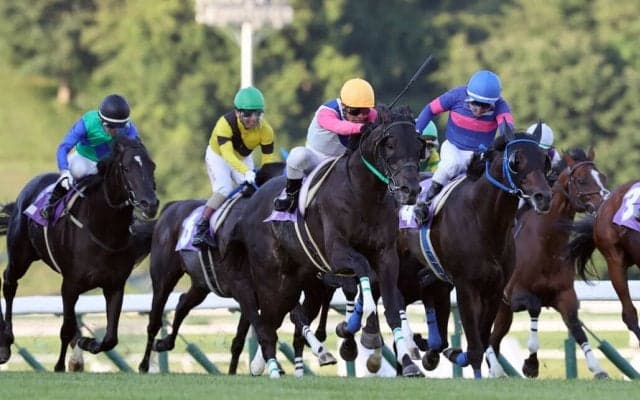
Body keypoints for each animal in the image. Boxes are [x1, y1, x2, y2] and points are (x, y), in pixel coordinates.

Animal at [0, 134, 158, 371]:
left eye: (152, 166)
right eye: (126, 168)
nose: (150, 204)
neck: (103, 231)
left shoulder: (114, 285)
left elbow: (110, 338)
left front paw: (86, 343)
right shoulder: (70, 284)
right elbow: (65, 329)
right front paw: (60, 365)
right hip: (20, 255)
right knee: (9, 283)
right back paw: (5, 344)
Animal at [236, 105, 425, 378]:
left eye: (418, 146)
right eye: (390, 145)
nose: (410, 190)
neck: (363, 193)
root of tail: (251, 205)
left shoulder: (387, 255)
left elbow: (392, 305)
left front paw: (408, 361)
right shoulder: (337, 253)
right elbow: (364, 273)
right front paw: (368, 336)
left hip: (300, 281)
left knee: (279, 319)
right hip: (271, 280)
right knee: (267, 325)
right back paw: (270, 368)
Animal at [398, 126, 553, 378]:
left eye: (545, 160)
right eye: (516, 160)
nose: (543, 197)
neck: (484, 220)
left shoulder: (495, 289)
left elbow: (481, 337)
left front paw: (451, 354)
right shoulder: (466, 286)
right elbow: (475, 346)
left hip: (433, 275)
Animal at [488, 147, 610, 379]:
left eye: (602, 177)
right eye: (581, 180)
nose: (604, 205)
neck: (546, 244)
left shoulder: (565, 296)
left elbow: (577, 328)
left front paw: (598, 369)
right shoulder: (516, 294)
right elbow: (535, 308)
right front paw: (531, 365)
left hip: (502, 309)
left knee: (494, 338)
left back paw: (494, 369)